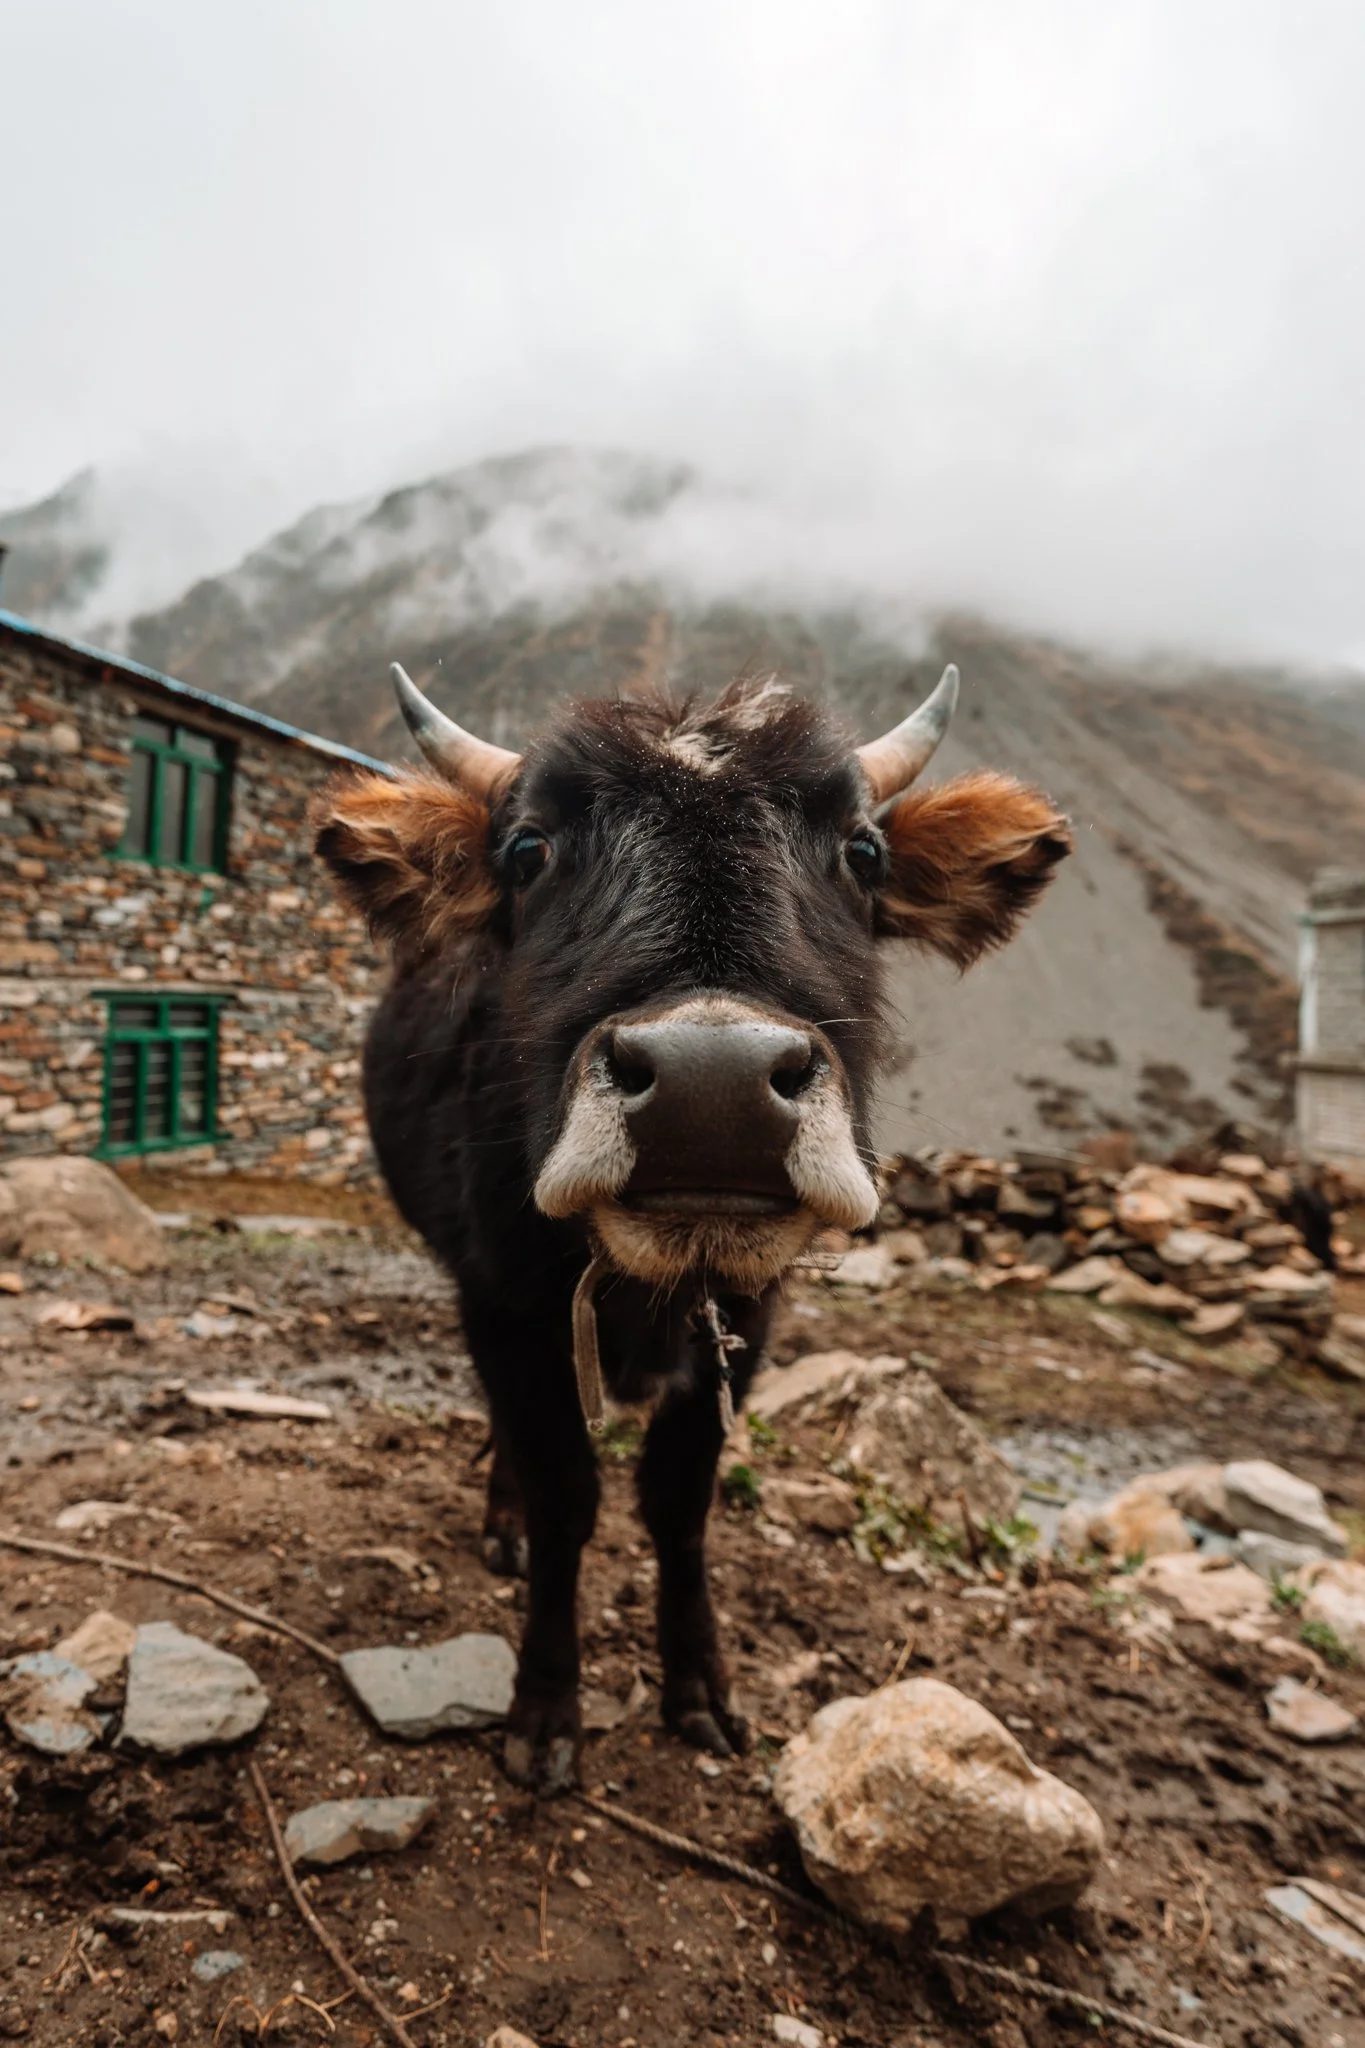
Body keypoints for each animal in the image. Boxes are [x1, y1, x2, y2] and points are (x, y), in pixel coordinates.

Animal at [313, 660, 1070, 1793]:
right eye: (528, 849)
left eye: (862, 852)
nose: (712, 1092)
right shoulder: (505, 1303)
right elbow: (565, 1492)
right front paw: (545, 1710)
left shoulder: (749, 1319)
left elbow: (679, 1501)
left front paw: (700, 1690)